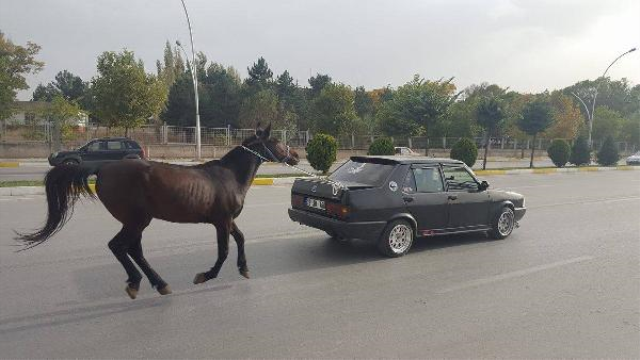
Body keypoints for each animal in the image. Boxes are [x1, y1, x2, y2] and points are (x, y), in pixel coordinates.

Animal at [15, 125, 300, 300]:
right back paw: (137, 282)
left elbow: (240, 238)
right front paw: (204, 276)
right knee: (119, 246)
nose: (296, 155)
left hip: (138, 221)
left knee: (133, 250)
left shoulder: (226, 220)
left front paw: (244, 268)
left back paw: (157, 283)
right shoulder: (221, 221)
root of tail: (103, 168)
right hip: (136, 220)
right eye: (277, 141)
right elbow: (224, 251)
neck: (229, 176)